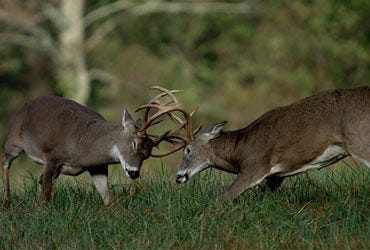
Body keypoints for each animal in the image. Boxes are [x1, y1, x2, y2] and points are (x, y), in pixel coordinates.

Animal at [2, 87, 194, 208]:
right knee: (5, 162)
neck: (82, 146)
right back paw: (6, 203)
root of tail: (25, 105)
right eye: (134, 142)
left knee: (39, 178)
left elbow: (108, 197)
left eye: (147, 155)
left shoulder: (98, 167)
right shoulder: (52, 157)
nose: (134, 172)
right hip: (14, 140)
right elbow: (45, 197)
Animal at [175, 86, 370, 201]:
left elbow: (221, 198)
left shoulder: (254, 167)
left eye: (188, 150)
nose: (178, 176)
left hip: (360, 141)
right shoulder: (276, 176)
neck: (240, 148)